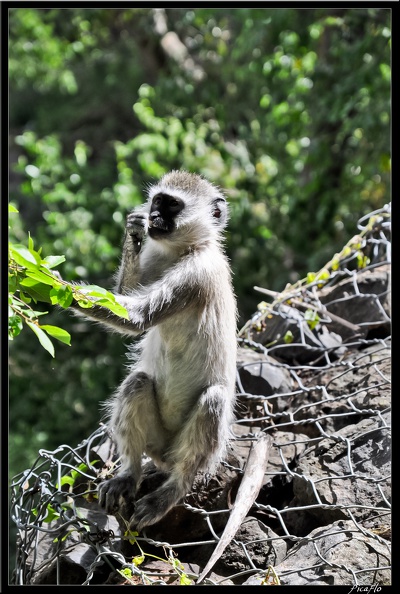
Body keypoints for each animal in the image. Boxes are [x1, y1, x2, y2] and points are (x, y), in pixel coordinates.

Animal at [71, 170, 236, 528]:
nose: (154, 216)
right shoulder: (155, 256)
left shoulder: (195, 274)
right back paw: (129, 475)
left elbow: (137, 318)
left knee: (212, 403)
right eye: (158, 201)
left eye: (173, 205)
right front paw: (132, 230)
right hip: (157, 441)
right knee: (137, 383)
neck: (183, 251)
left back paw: (172, 491)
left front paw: (43, 282)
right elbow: (128, 292)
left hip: (196, 451)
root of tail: (165, 457)